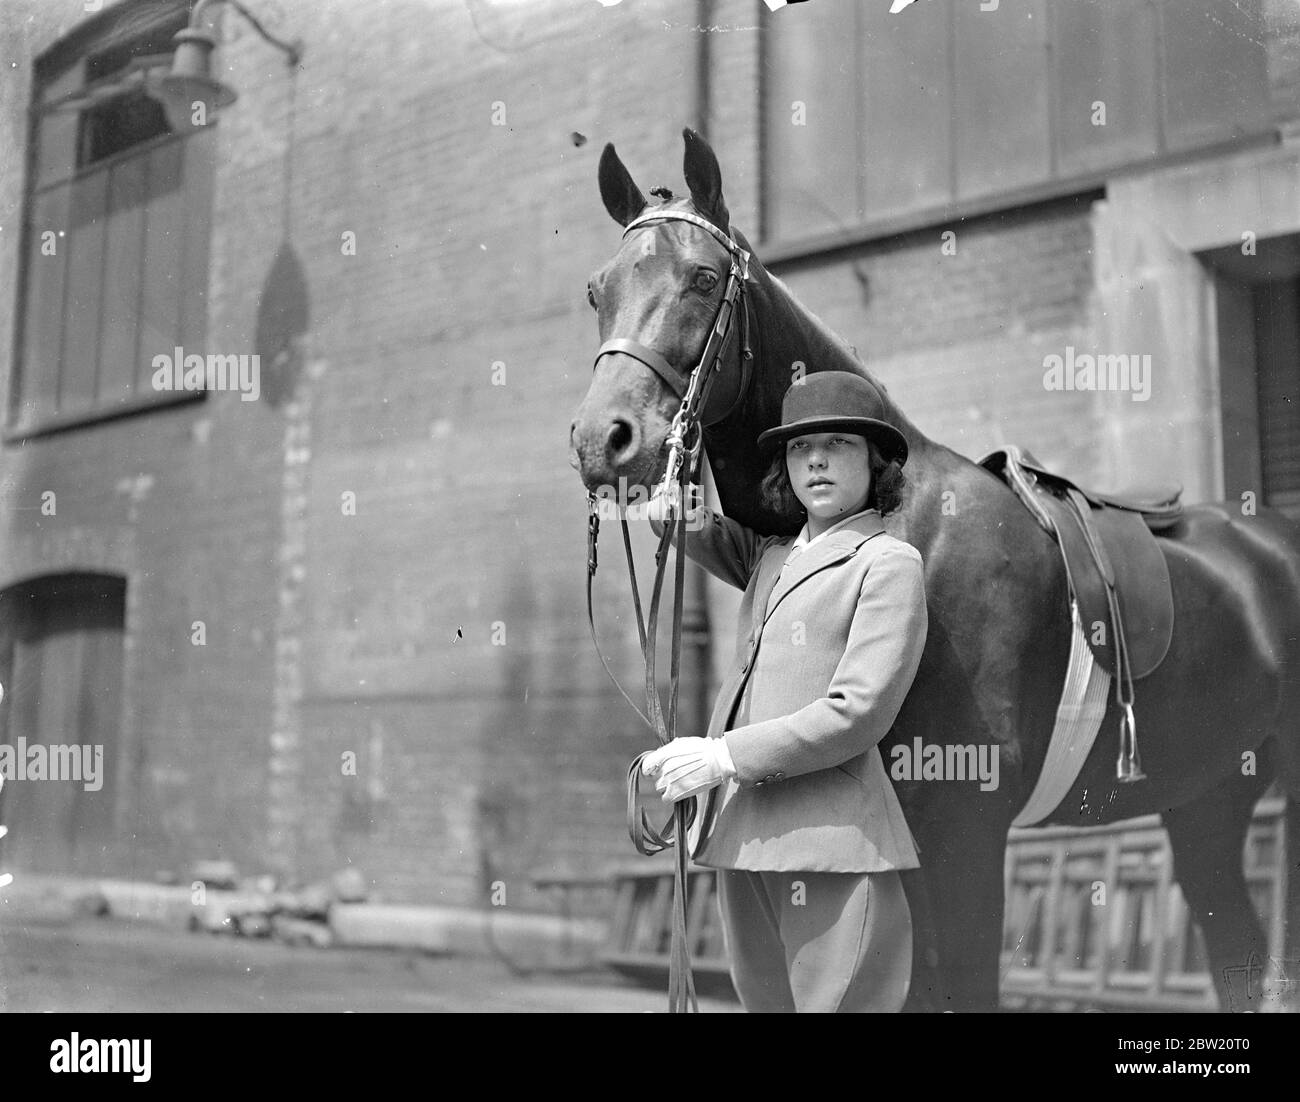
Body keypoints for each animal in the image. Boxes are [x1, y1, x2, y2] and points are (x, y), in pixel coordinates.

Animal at [569, 129, 1300, 1013]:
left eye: (704, 279)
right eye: (597, 290)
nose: (604, 440)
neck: (908, 526)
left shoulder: (967, 838)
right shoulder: (912, 859)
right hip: (1207, 800)